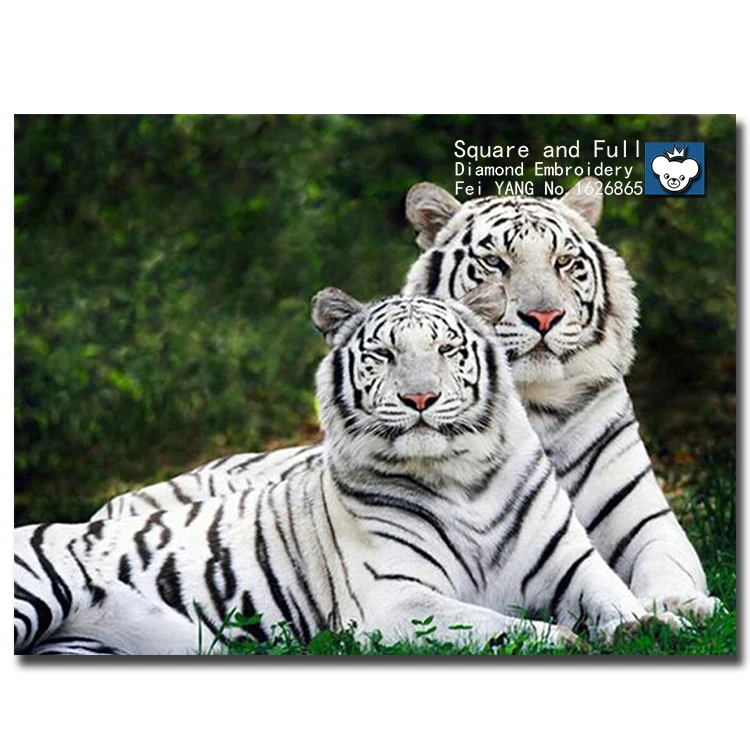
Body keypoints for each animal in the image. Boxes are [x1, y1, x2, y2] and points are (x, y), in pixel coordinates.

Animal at [15, 287, 684, 655]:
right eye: (383, 354)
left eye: (446, 349)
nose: (420, 399)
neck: (462, 478)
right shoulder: (395, 599)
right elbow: (496, 625)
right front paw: (564, 639)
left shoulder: (572, 565)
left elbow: (616, 598)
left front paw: (656, 624)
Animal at [93, 178, 720, 623]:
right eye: (495, 263)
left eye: (565, 262)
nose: (543, 316)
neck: (533, 407)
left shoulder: (646, 521)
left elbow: (668, 565)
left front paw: (684, 606)